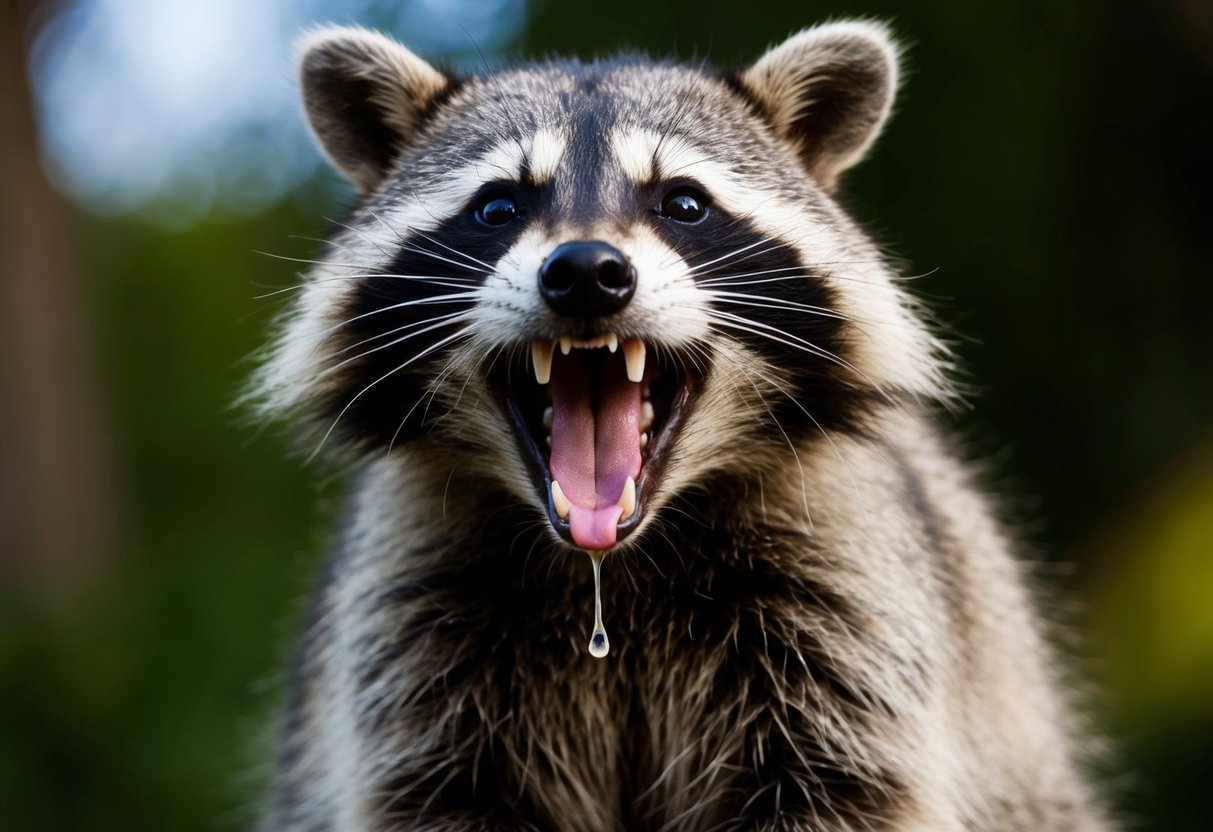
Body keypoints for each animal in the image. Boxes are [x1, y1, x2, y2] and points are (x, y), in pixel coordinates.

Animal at [255, 21, 1111, 832]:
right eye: (498, 207)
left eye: (683, 203)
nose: (585, 273)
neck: (614, 569)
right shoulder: (414, 618)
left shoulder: (848, 594)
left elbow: (840, 786)